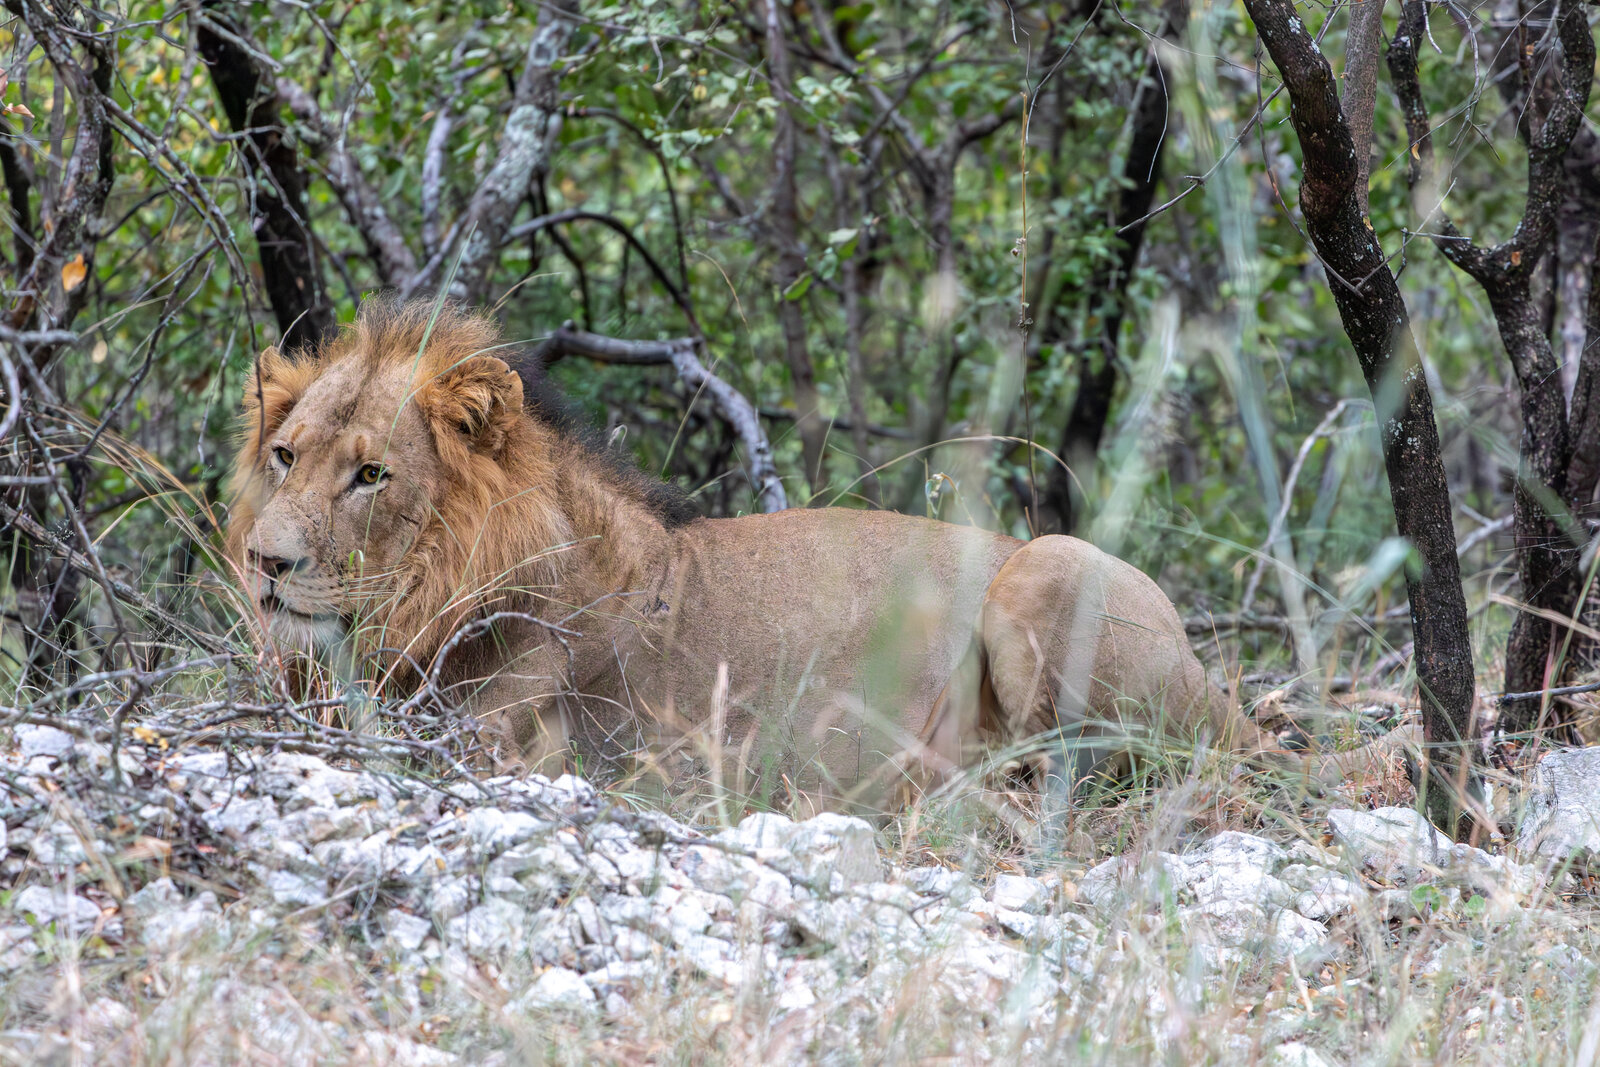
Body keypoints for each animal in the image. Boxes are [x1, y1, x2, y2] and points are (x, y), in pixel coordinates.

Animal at [226, 298, 1401, 813]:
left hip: (1052, 568)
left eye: (371, 476)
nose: (266, 564)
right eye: (285, 455)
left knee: (1120, 768)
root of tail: (1225, 693)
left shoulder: (510, 750)